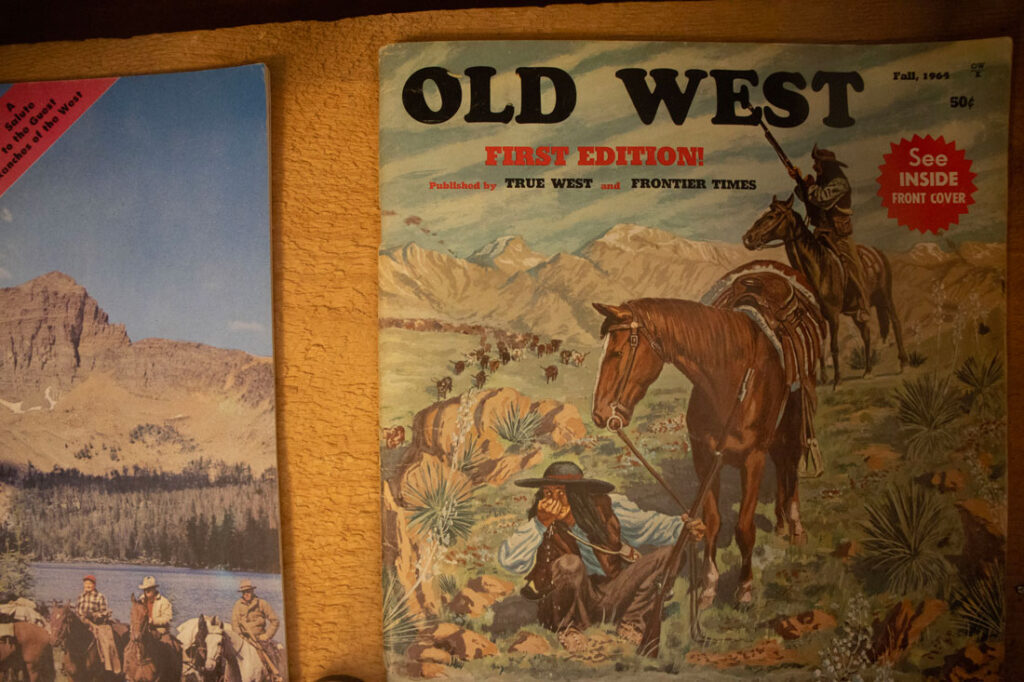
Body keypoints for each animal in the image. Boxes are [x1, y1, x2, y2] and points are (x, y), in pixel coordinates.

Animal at [593, 264, 823, 602]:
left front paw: (744, 587)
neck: (731, 379)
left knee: (791, 463)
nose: (599, 414)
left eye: (618, 353)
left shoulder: (752, 459)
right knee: (782, 464)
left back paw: (795, 526)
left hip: (795, 418)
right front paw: (709, 586)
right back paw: (781, 523)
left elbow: (744, 527)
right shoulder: (705, 458)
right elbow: (713, 522)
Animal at [745, 193, 905, 385]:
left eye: (772, 215)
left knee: (895, 323)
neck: (820, 268)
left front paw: (837, 381)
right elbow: (819, 345)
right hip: (857, 310)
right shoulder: (818, 316)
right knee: (866, 333)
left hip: (886, 298)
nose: (748, 238)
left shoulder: (833, 315)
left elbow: (834, 346)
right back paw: (868, 371)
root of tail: (878, 253)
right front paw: (823, 378)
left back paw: (903, 364)